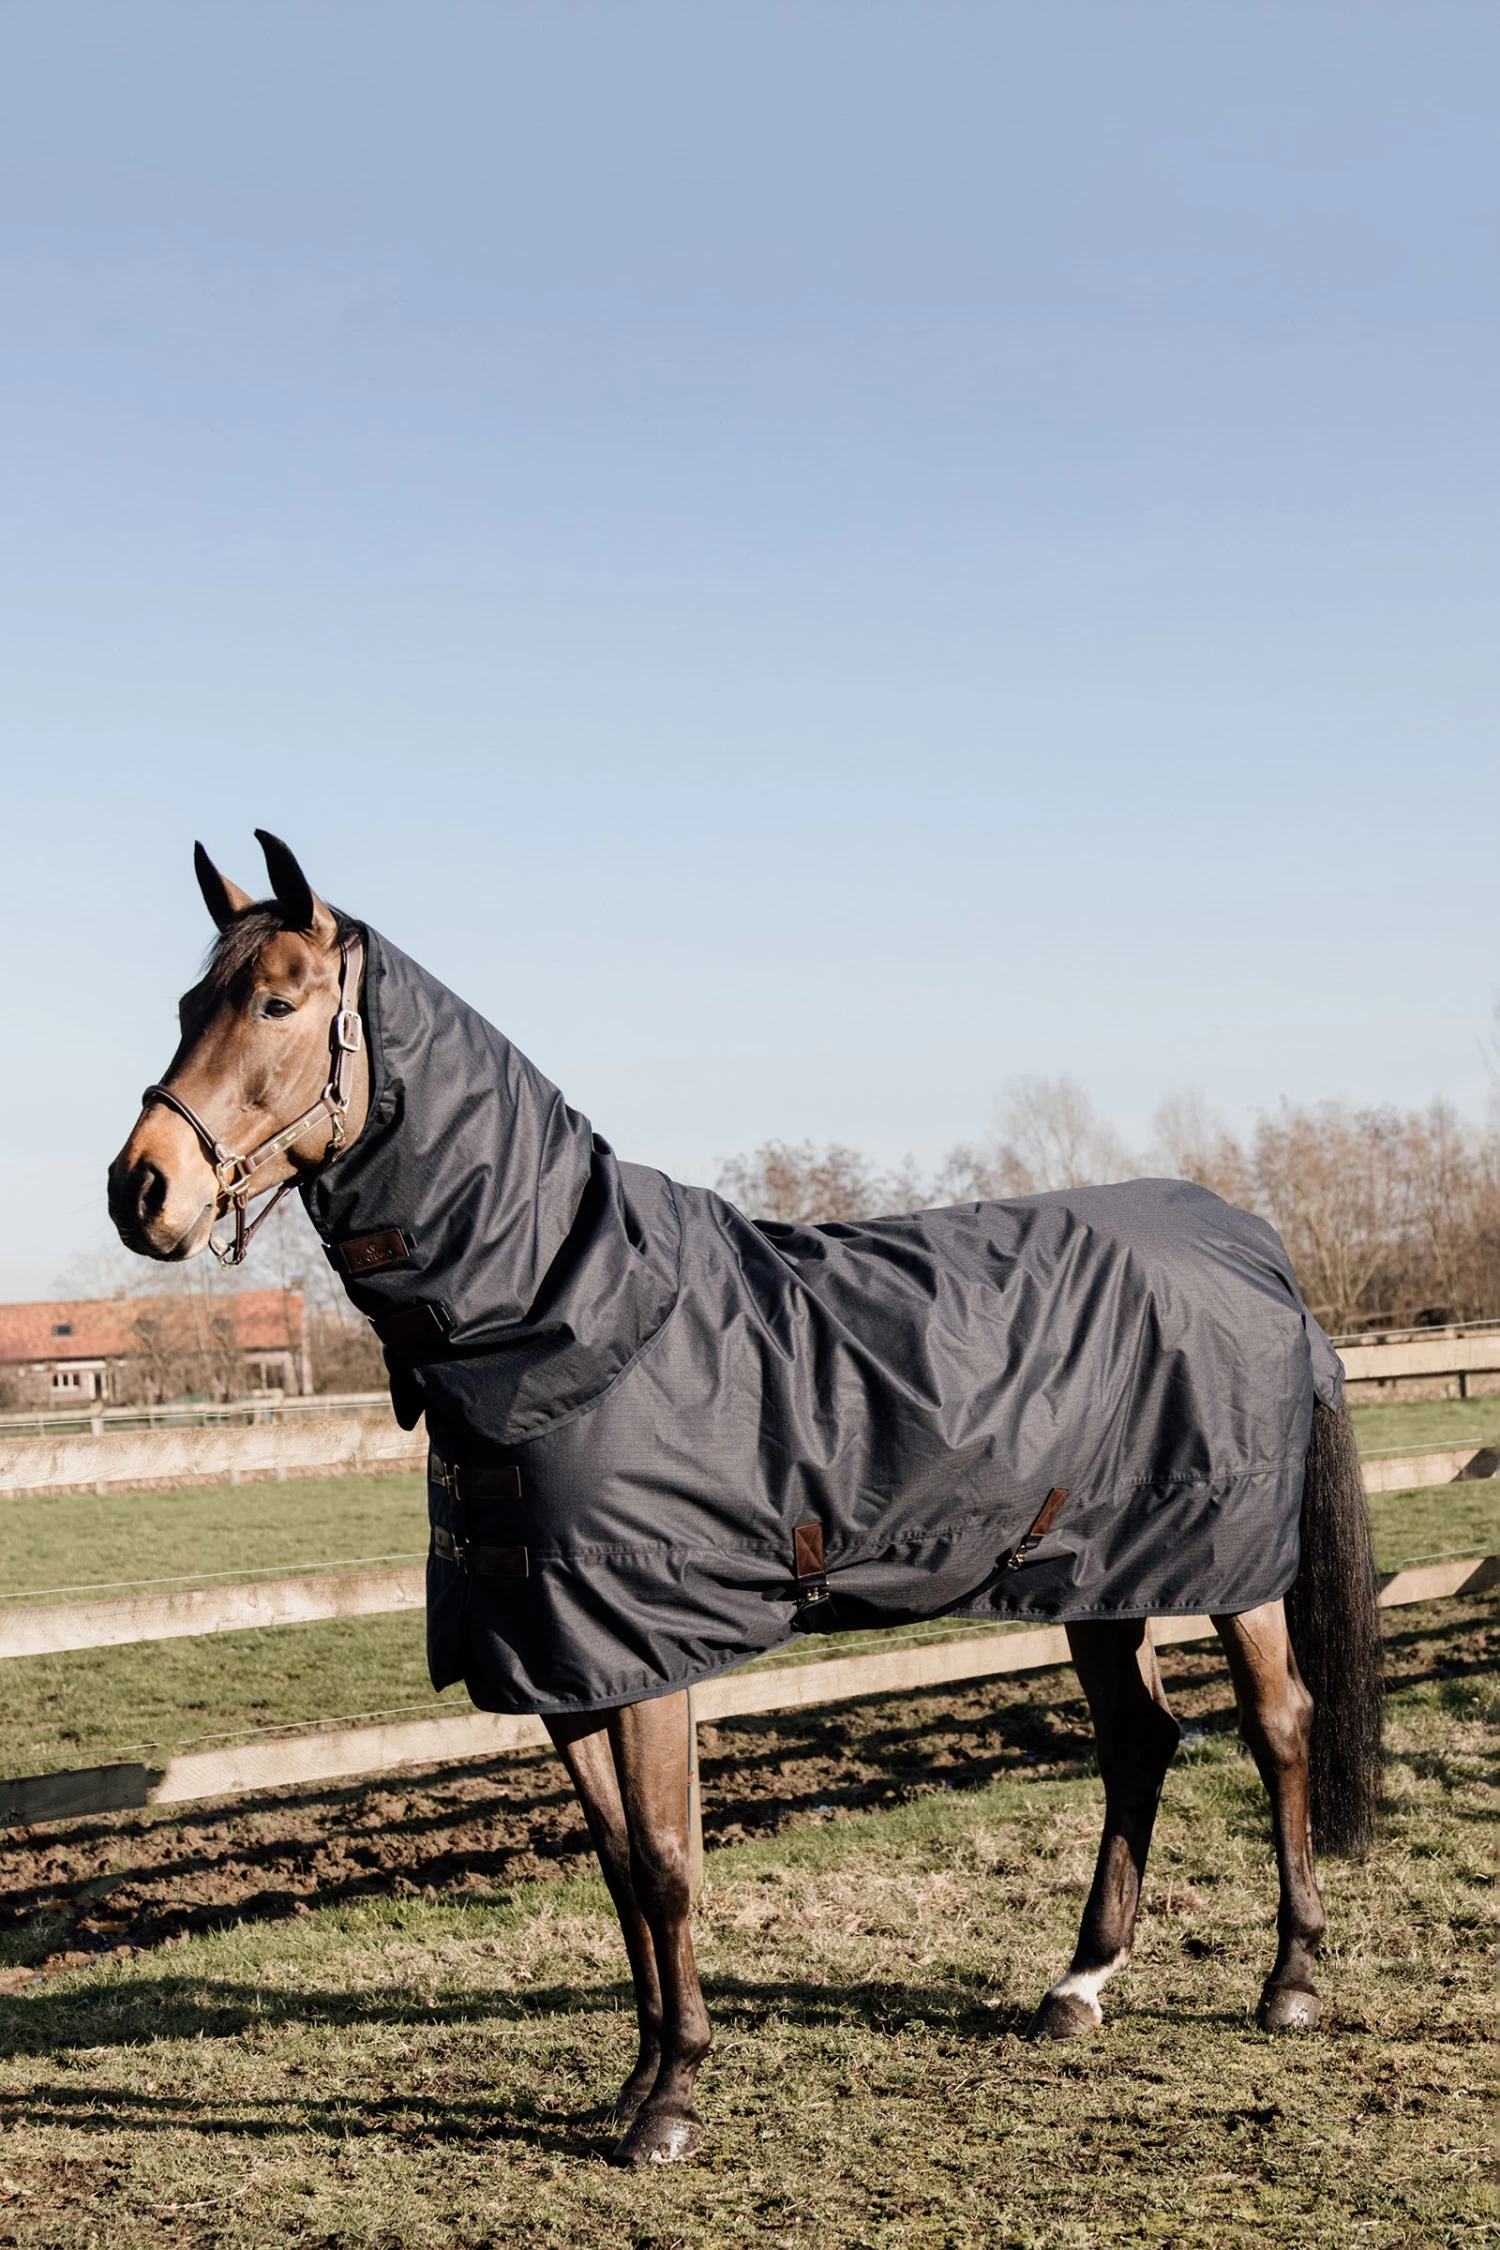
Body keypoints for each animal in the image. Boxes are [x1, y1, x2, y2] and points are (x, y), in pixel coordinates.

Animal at [108, 831, 1383, 2169]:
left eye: (278, 1003)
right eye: (190, 1004)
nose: (141, 1191)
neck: (576, 1310)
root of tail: (1248, 1239)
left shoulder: (646, 1648)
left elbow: (669, 1862)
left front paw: (672, 2103)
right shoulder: (563, 1658)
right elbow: (618, 1865)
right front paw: (631, 2084)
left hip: (1232, 1573)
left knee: (1279, 1726)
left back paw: (1290, 1981)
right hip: (1096, 1574)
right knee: (1138, 1742)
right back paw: (1078, 1987)